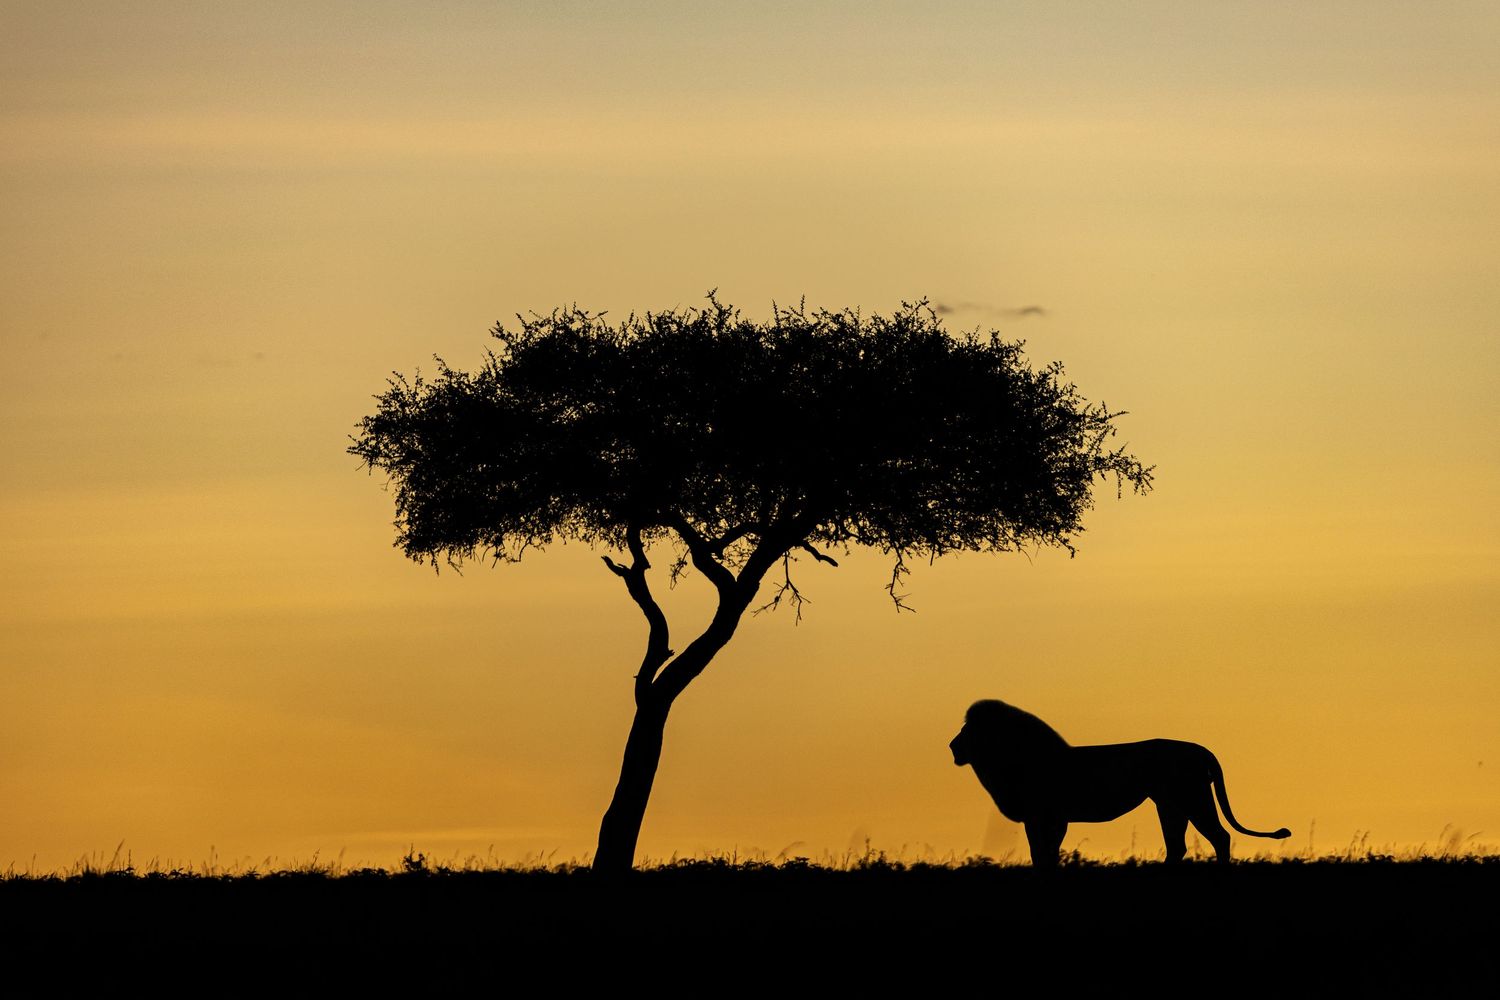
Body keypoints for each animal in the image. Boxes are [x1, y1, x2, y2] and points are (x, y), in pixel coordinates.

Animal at [950, 699, 1291, 866]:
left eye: (968, 730)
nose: (952, 746)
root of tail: (1201, 750)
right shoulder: (1053, 819)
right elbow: (1045, 852)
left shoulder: (1044, 817)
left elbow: (1042, 853)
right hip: (1170, 804)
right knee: (1177, 845)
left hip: (1192, 797)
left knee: (1219, 836)